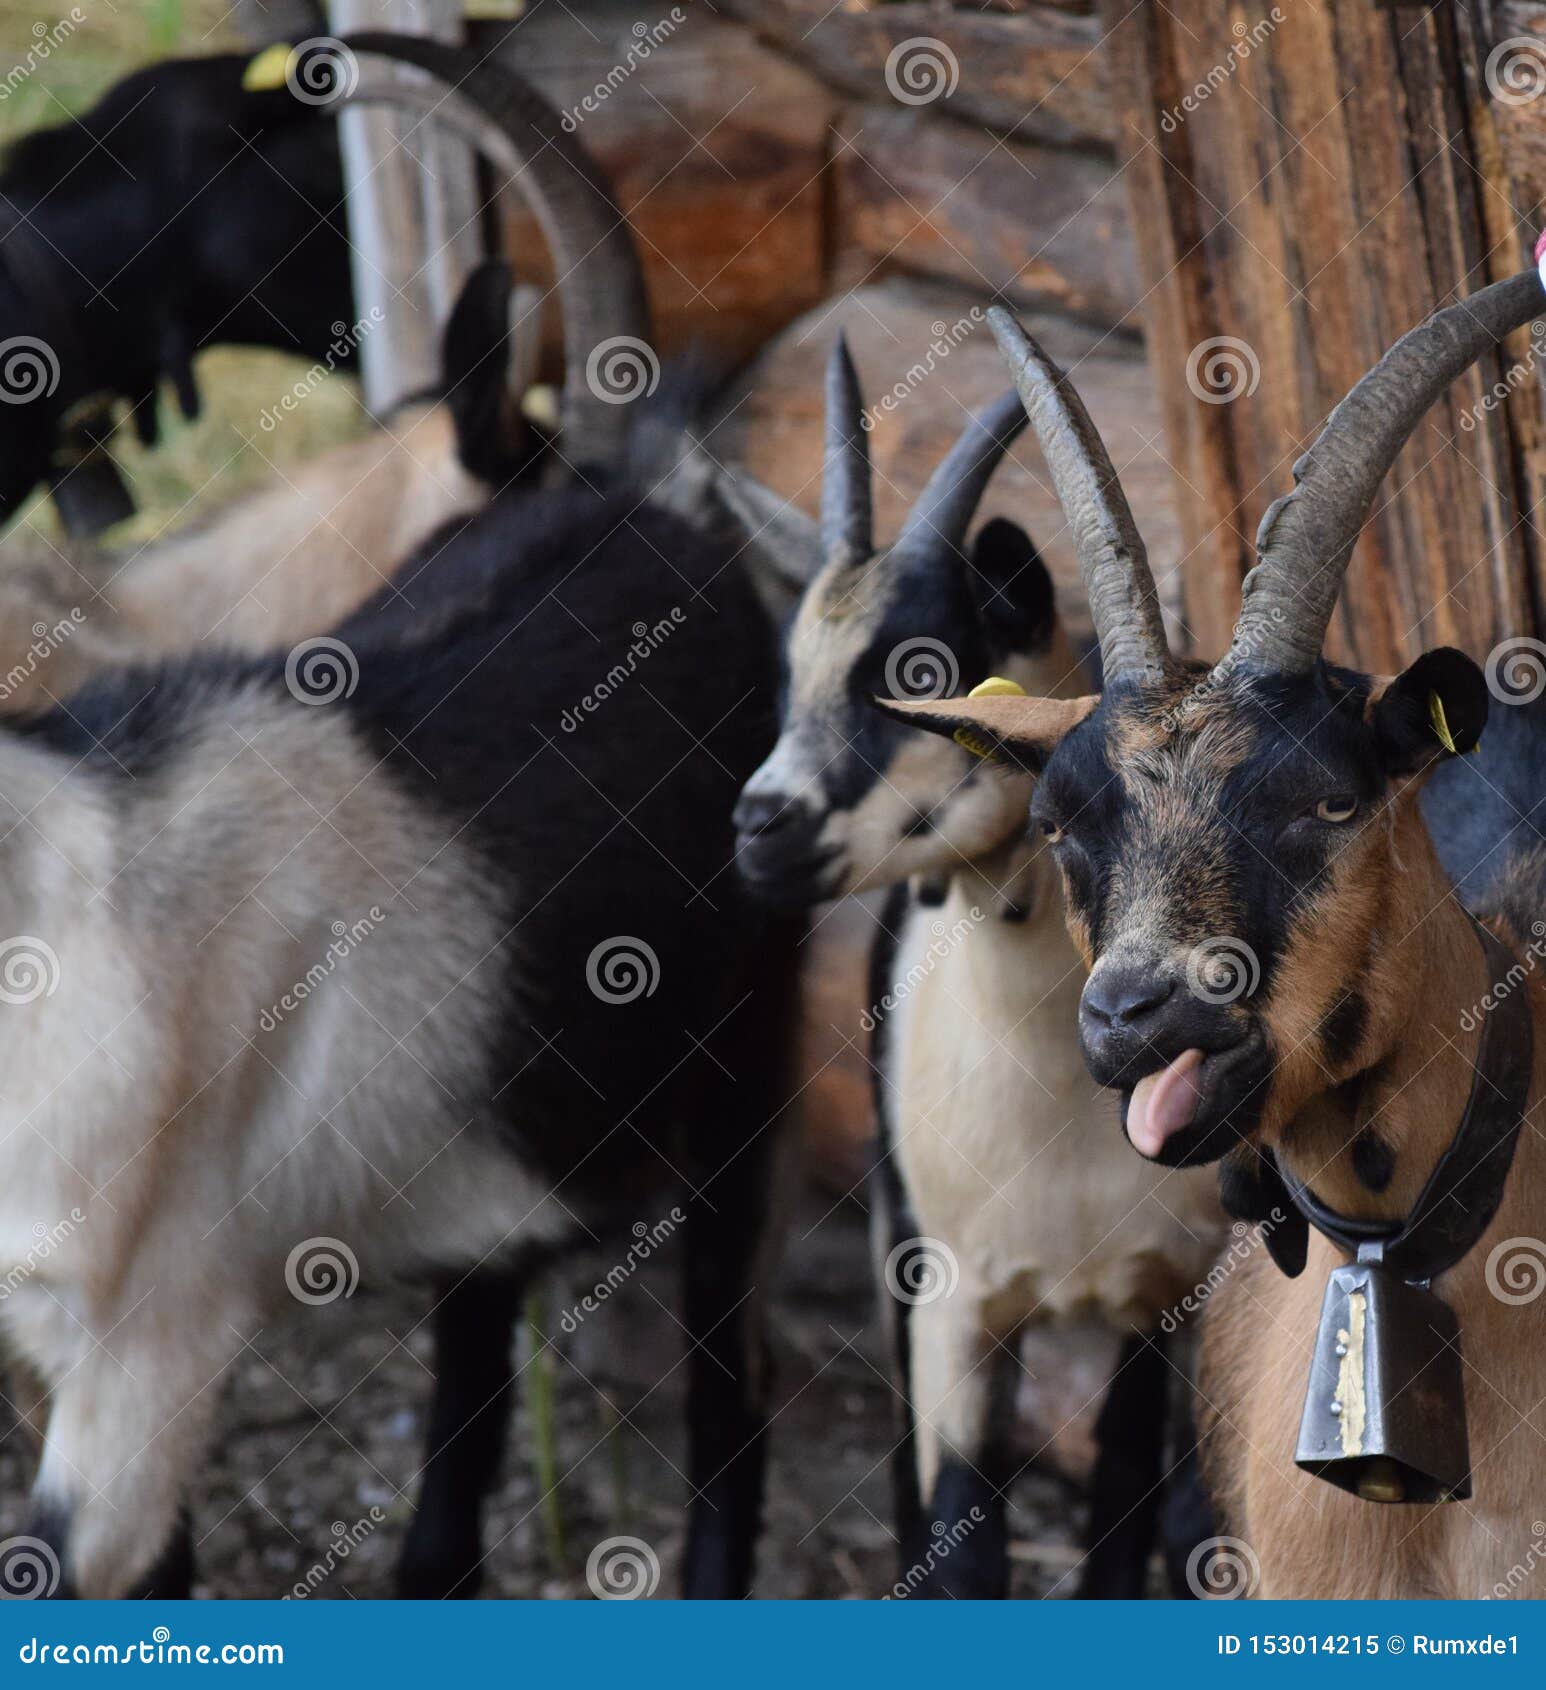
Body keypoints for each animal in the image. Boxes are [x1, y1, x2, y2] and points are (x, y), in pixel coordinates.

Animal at [732, 339, 1227, 1597]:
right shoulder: (952, 1303)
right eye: (792, 671)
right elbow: (957, 1523)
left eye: (914, 672)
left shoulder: (1178, 1288)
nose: (759, 824)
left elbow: (1153, 1519)